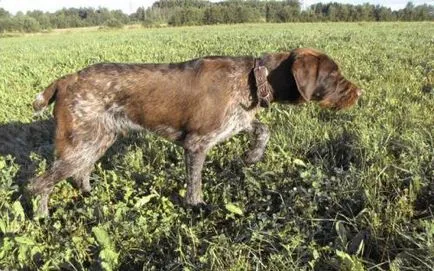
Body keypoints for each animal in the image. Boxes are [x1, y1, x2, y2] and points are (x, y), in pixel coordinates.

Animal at [28, 47, 362, 216]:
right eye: (334, 75)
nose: (359, 93)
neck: (253, 79)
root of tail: (66, 79)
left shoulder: (239, 121)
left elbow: (262, 129)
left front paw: (252, 156)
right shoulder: (197, 144)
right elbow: (195, 185)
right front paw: (197, 208)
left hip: (97, 139)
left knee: (79, 174)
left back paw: (88, 196)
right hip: (81, 144)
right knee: (38, 184)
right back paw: (43, 219)